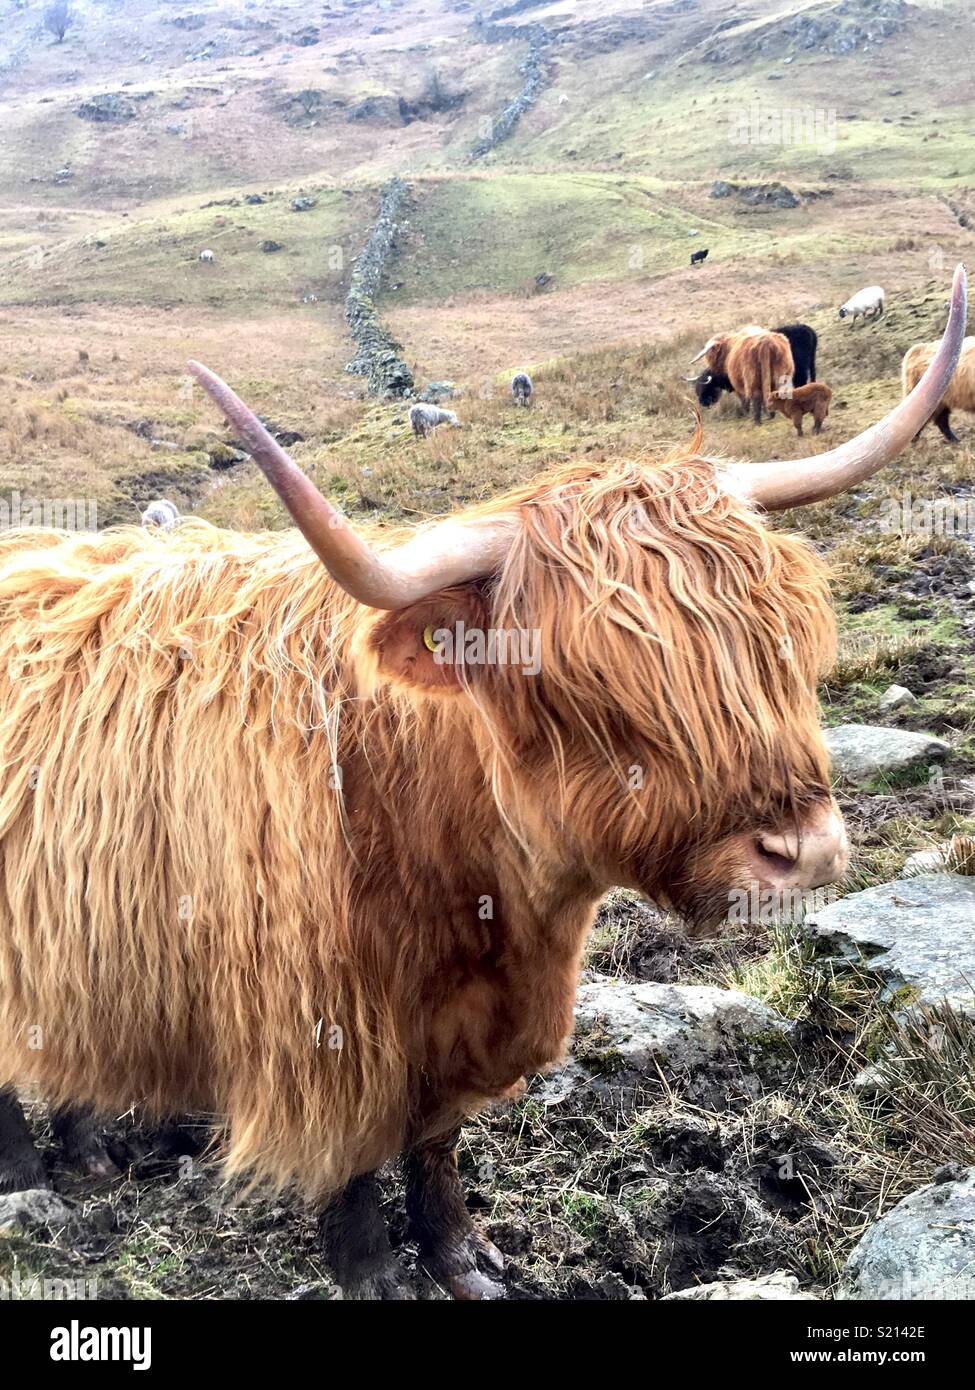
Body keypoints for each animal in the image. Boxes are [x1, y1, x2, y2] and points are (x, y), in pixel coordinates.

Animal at [0, 266, 966, 1300]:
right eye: (580, 684)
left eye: (779, 643)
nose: (805, 852)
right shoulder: (325, 1028)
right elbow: (352, 1157)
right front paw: (372, 1270)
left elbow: (437, 1141)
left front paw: (462, 1259)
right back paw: (26, 1174)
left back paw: (88, 1151)